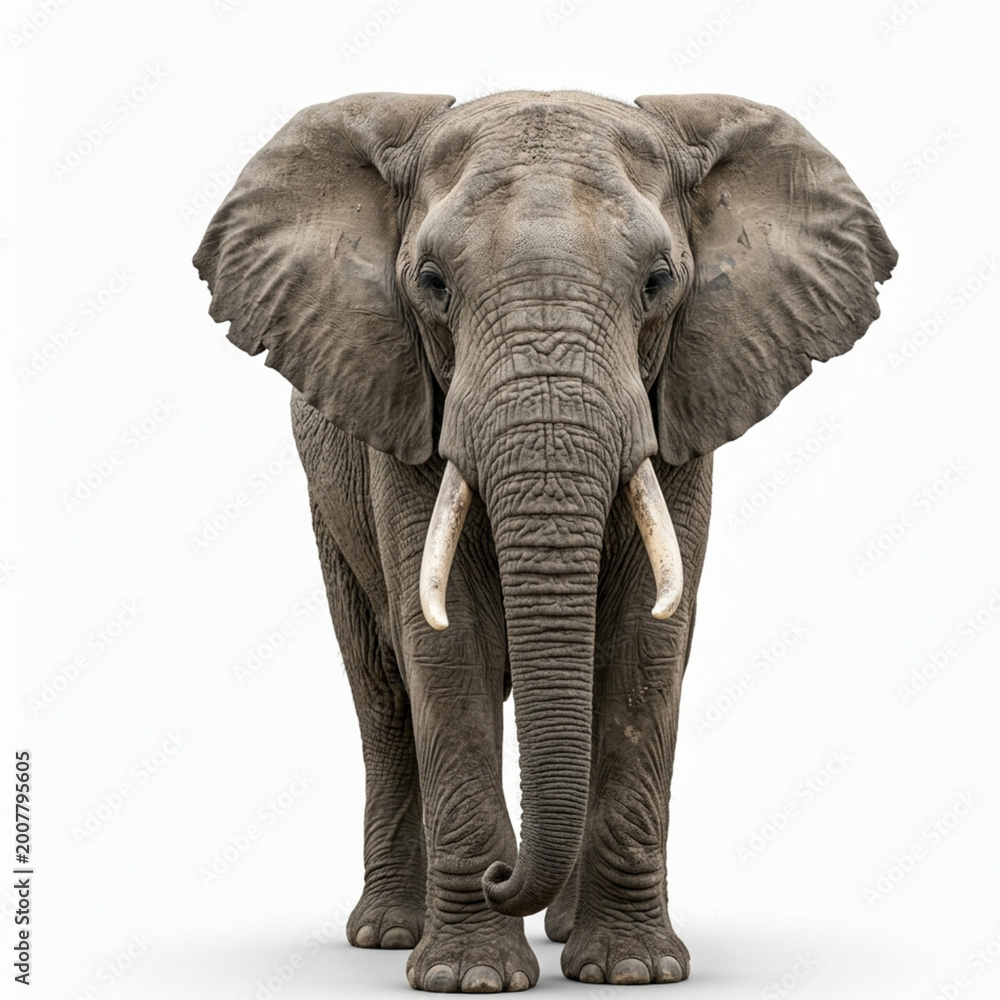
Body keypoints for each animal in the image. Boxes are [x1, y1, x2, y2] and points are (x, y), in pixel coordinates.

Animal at [193, 90, 895, 992]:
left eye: (659, 282)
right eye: (431, 283)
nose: (505, 878)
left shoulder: (683, 405)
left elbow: (647, 645)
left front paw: (632, 970)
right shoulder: (405, 418)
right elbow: (443, 646)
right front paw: (467, 978)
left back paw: (557, 930)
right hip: (327, 496)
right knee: (381, 691)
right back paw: (389, 933)